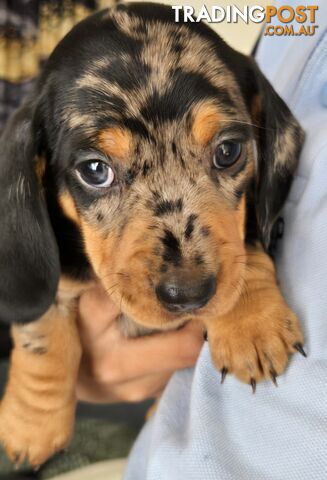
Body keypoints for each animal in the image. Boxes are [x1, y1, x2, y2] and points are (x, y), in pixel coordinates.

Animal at [0, 2, 304, 468]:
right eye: (94, 170)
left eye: (229, 151)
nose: (189, 293)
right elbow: (44, 333)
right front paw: (32, 424)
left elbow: (246, 245)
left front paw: (251, 321)